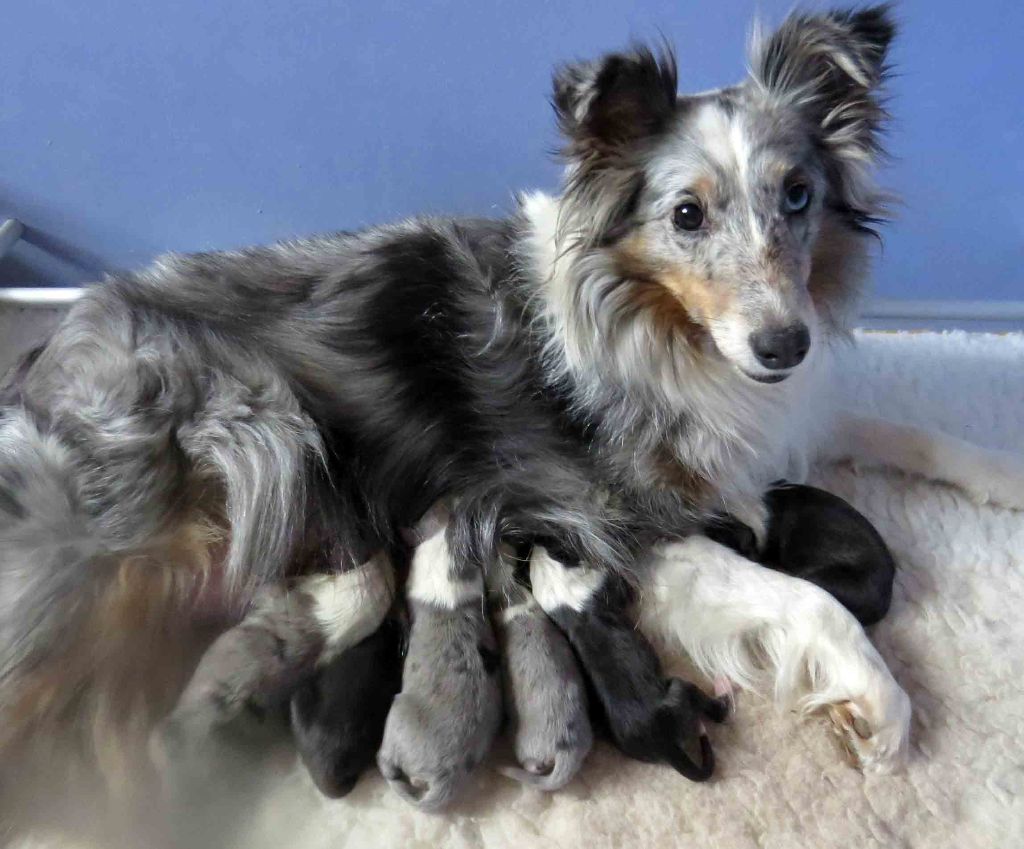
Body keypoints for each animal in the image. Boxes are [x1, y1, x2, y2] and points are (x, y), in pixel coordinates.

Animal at [528, 544, 729, 782]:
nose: (534, 546)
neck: (550, 575)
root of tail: (666, 747)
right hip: (680, 690)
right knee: (716, 711)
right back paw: (723, 688)